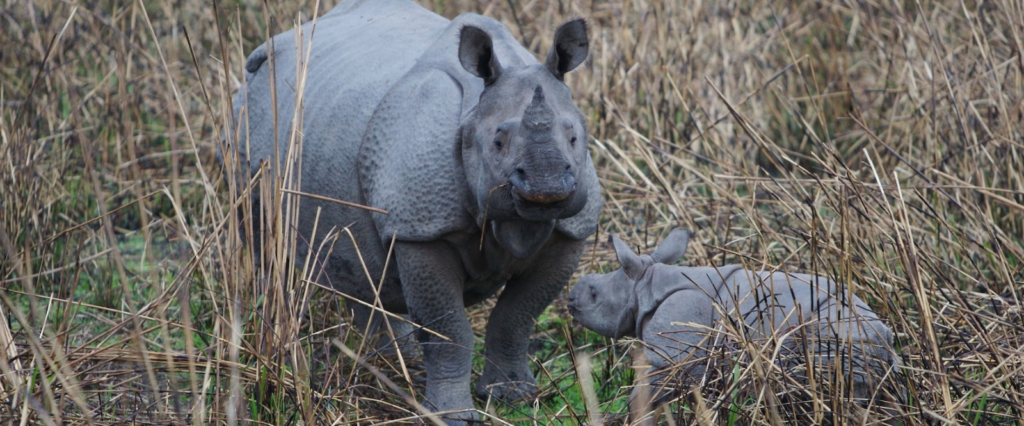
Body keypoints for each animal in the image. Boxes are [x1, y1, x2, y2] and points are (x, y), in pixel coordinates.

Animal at [226, 0, 598, 421]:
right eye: (498, 142)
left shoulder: (570, 231)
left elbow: (517, 316)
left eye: (574, 138)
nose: (546, 187)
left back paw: (392, 363)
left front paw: (513, 396)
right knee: (269, 250)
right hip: (249, 122)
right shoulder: (421, 229)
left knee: (362, 267)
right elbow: (448, 328)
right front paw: (454, 416)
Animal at [573, 229, 901, 409]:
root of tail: (885, 337)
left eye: (594, 295)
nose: (570, 300)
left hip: (838, 334)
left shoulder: (677, 351)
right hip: (864, 337)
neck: (646, 283)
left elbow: (647, 393)